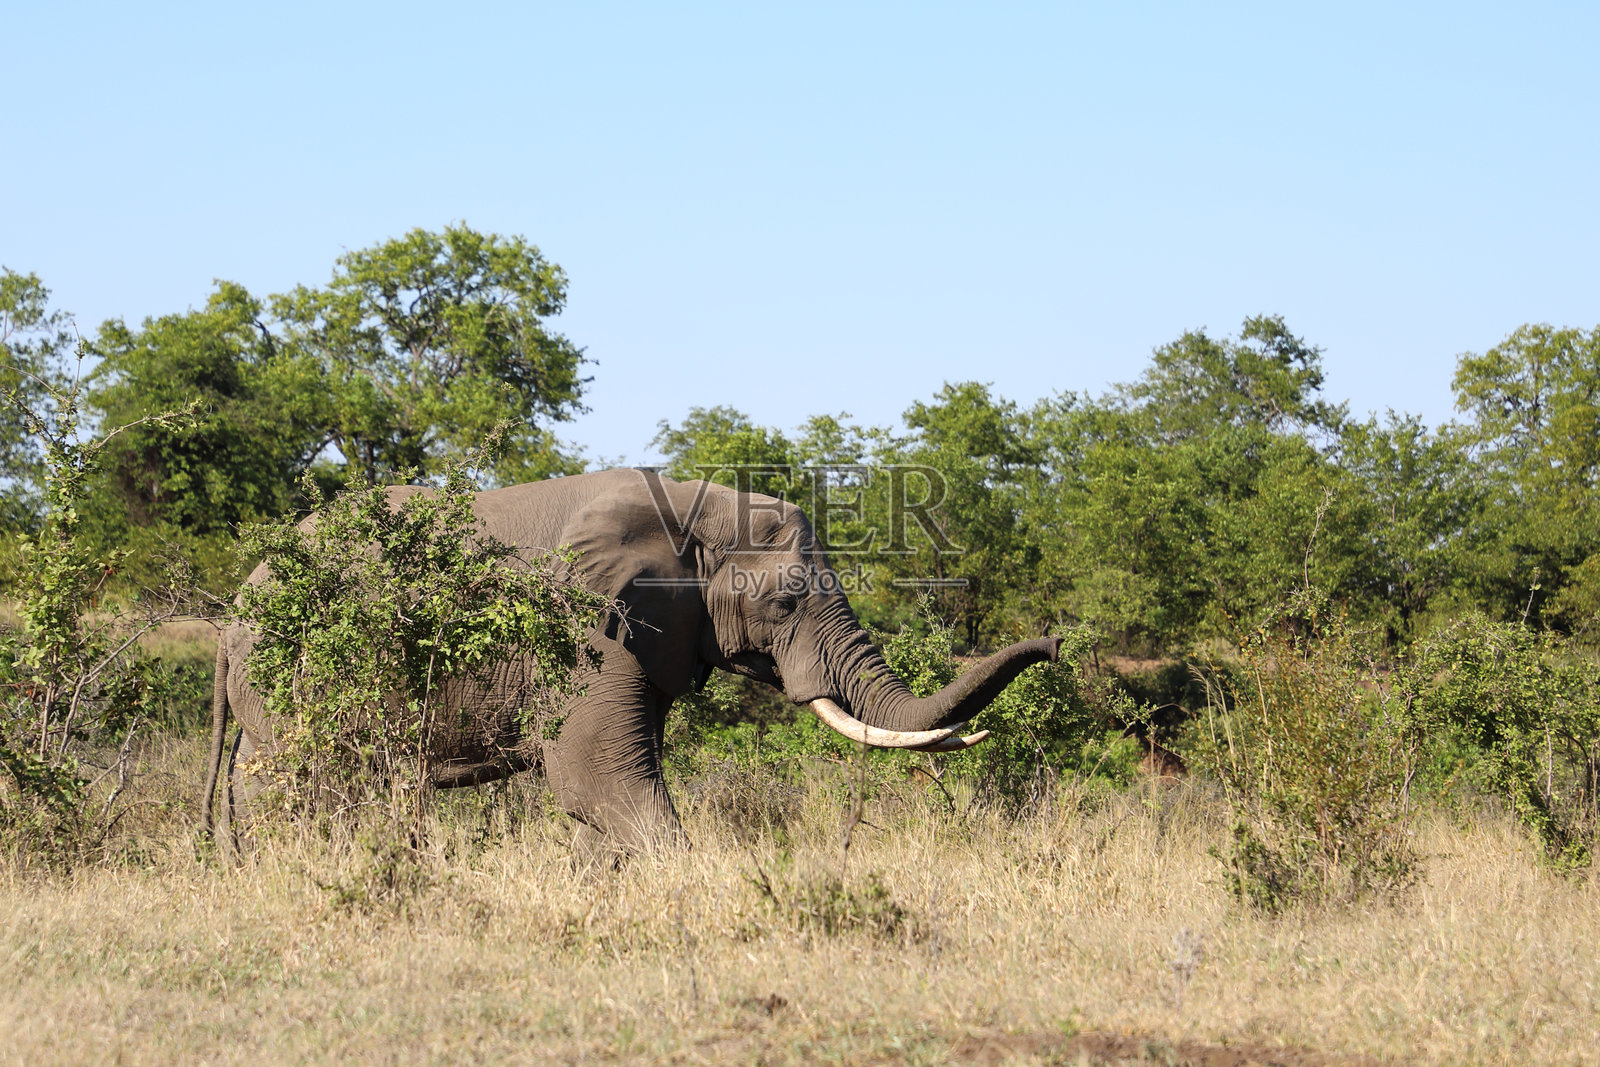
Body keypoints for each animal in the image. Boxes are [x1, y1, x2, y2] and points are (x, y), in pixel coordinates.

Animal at [200, 468, 1060, 853]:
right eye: (785, 604)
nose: (1055, 643)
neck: (695, 505)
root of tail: (233, 607)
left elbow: (602, 788)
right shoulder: (586, 628)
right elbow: (601, 777)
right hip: (286, 676)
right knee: (310, 784)